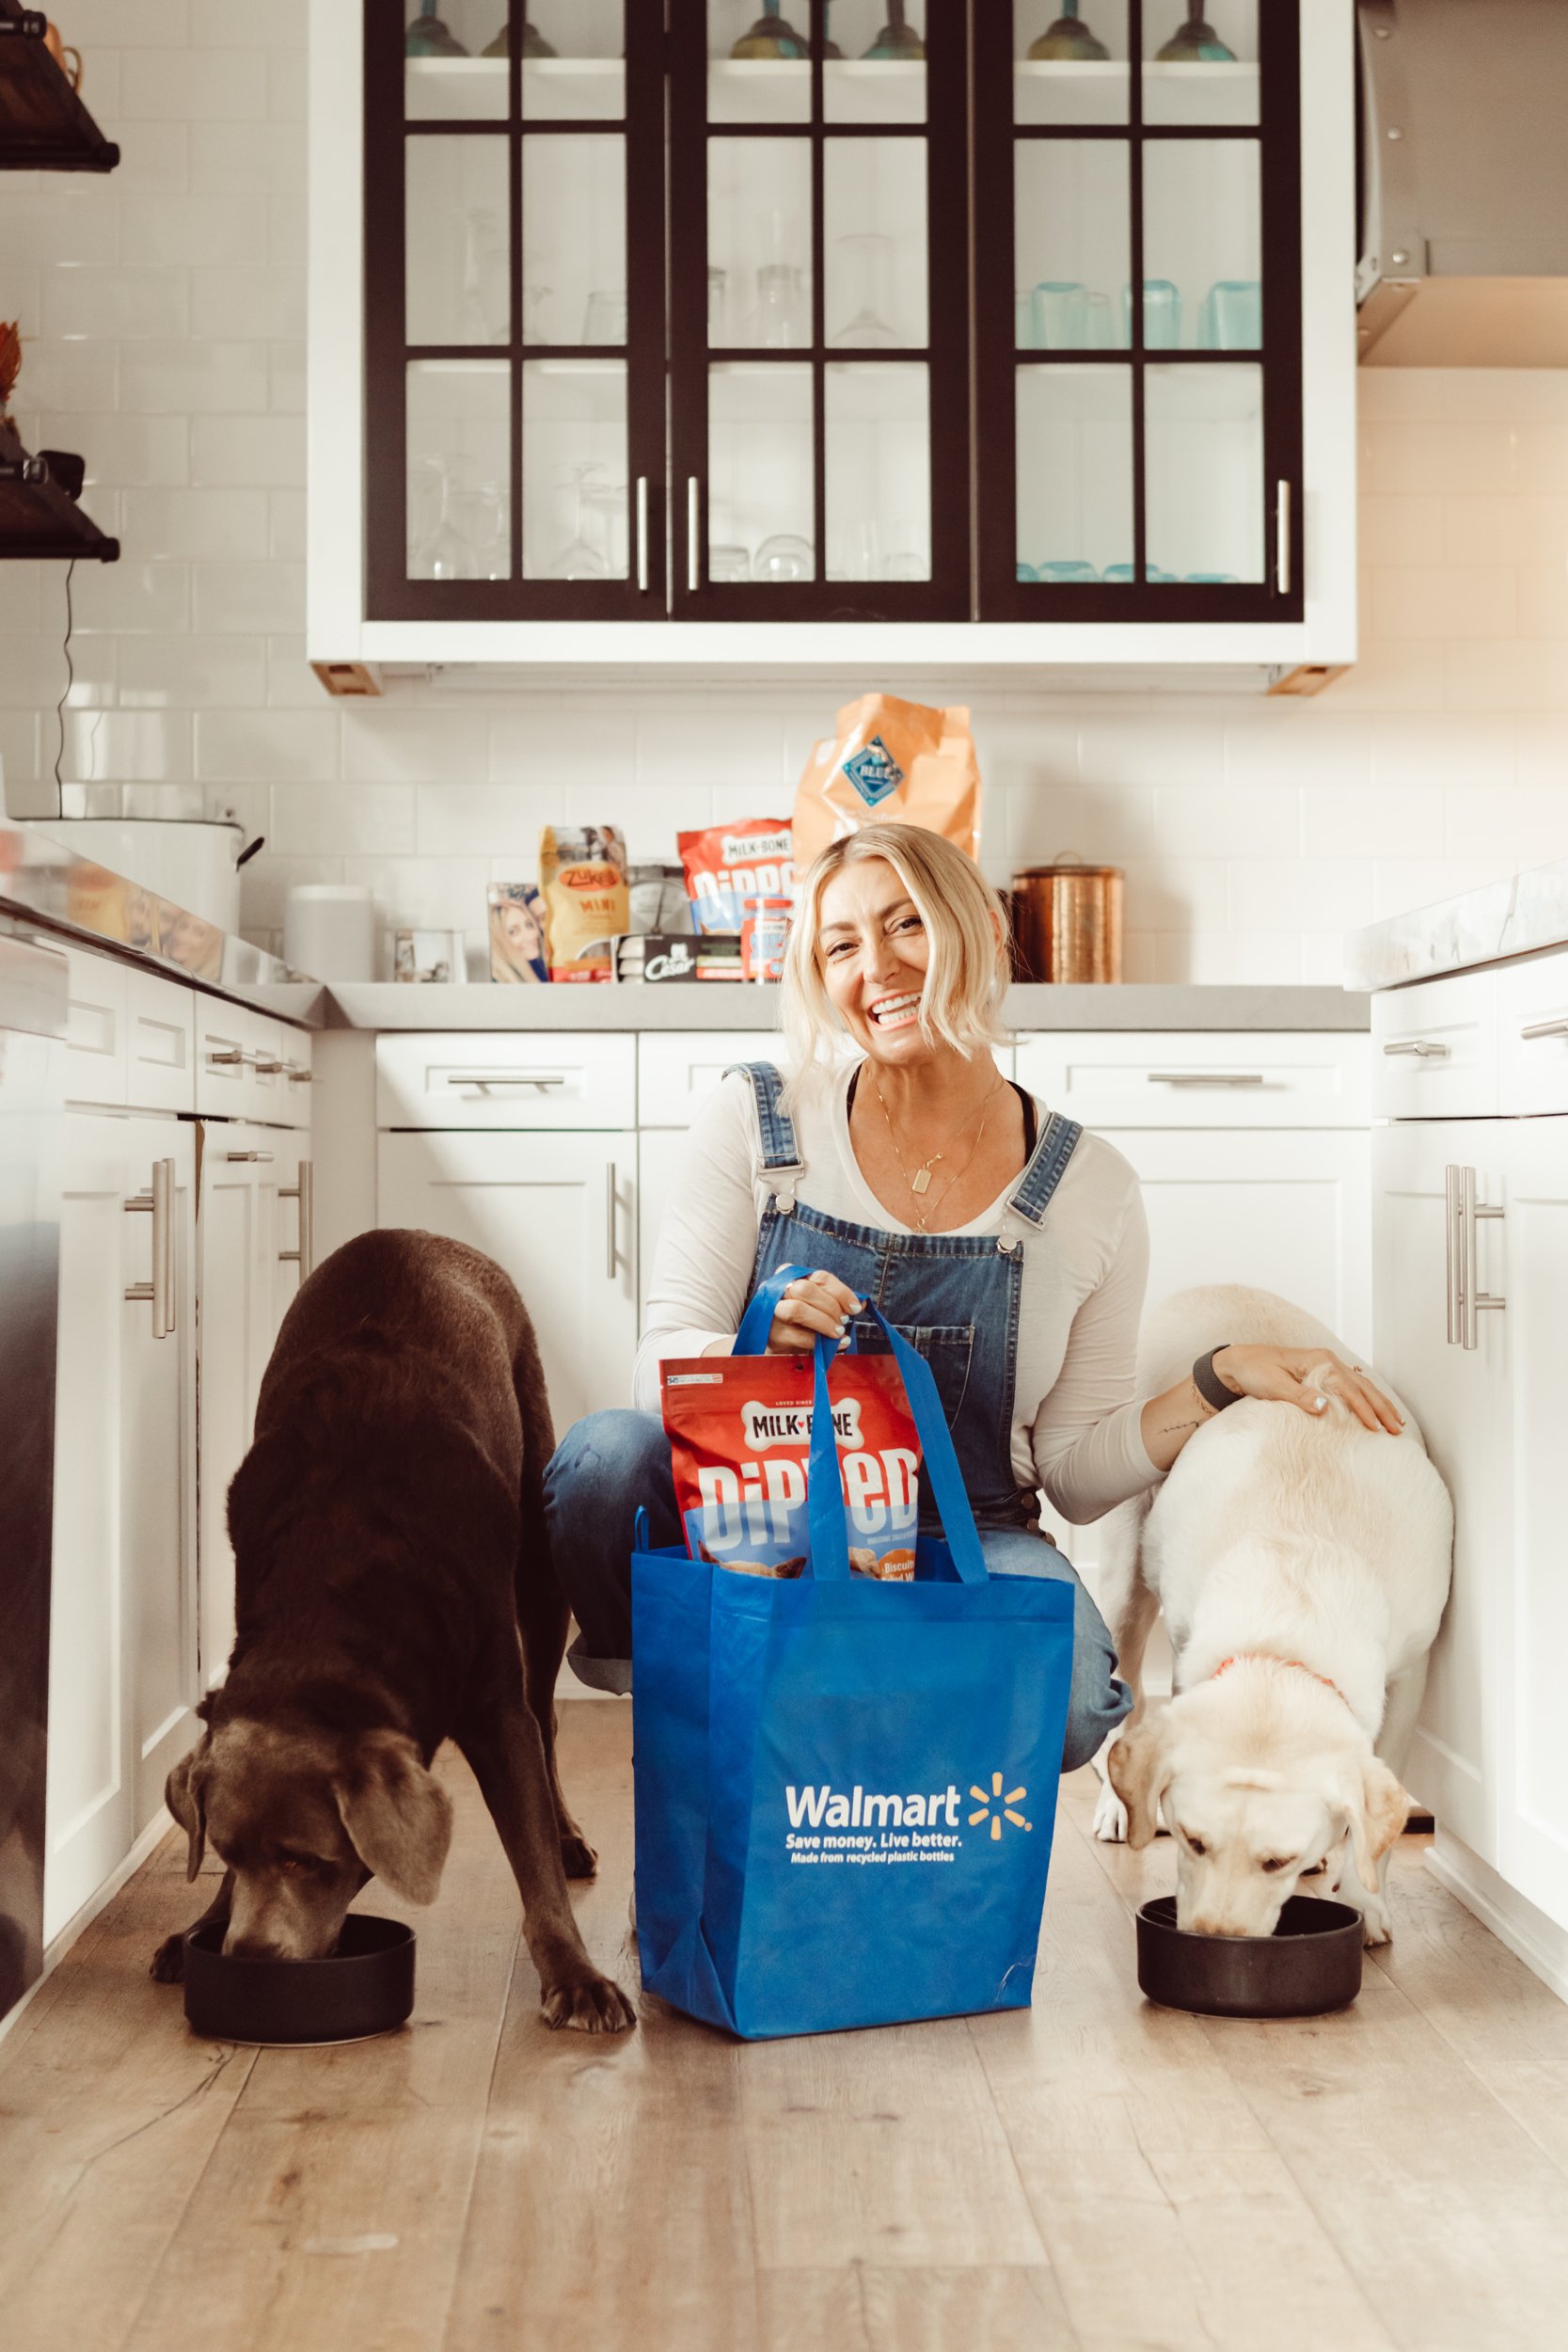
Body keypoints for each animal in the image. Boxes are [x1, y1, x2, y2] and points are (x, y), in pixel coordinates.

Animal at [1100, 1289, 1457, 1947]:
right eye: (1193, 1841)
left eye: (1277, 1862)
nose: (1215, 1937)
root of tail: (1203, 1288)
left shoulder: (1410, 1673)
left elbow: (1376, 1814)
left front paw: (1363, 1899)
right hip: (1121, 1570)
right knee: (1122, 1683)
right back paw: (1115, 1804)